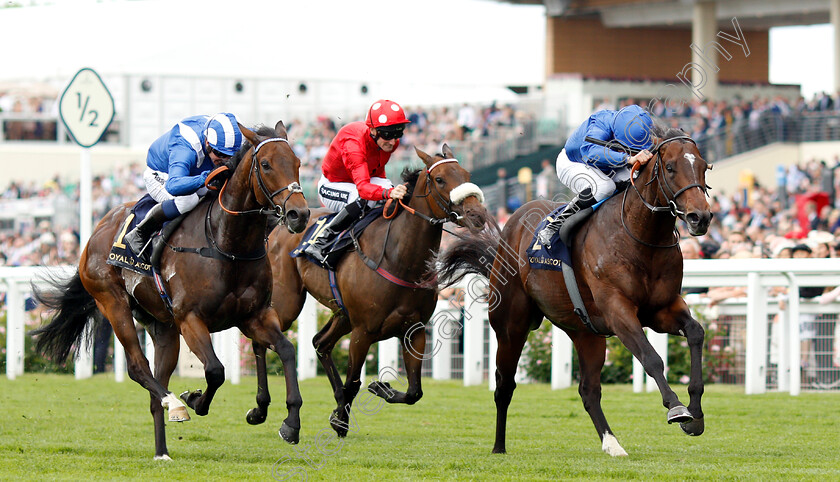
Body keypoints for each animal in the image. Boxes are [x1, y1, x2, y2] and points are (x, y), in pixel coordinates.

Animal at [30, 120, 312, 460]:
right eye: (267, 165)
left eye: (298, 163)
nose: (299, 214)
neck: (226, 244)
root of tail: (96, 231)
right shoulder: (191, 318)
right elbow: (216, 370)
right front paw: (194, 399)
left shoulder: (255, 316)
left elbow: (286, 350)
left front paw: (289, 423)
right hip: (113, 303)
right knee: (138, 368)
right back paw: (175, 404)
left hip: (163, 327)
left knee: (155, 389)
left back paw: (162, 451)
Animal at [260, 144, 486, 436]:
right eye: (440, 179)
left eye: (466, 174)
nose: (477, 215)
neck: (399, 260)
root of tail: (280, 227)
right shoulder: (363, 332)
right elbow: (354, 383)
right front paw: (340, 420)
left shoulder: (414, 330)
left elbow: (414, 391)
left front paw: (380, 388)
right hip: (287, 302)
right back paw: (261, 410)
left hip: (342, 314)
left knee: (320, 342)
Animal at [434, 126, 716, 458]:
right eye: (670, 168)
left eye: (703, 166)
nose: (701, 217)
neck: (641, 236)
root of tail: (510, 228)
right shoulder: (618, 310)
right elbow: (651, 358)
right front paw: (676, 409)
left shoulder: (661, 309)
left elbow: (696, 332)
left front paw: (696, 415)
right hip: (510, 326)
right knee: (504, 385)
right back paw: (499, 446)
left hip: (586, 333)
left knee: (588, 390)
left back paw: (612, 443)